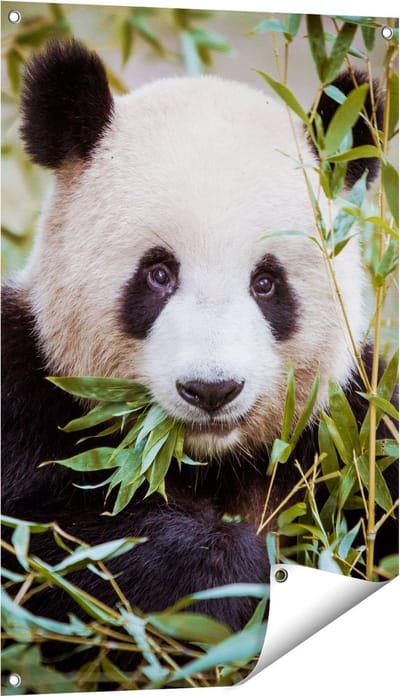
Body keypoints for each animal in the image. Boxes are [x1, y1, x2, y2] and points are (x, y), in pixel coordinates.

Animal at [2, 40, 397, 655]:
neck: (206, 461)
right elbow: (50, 546)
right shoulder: (24, 391)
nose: (211, 389)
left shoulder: (357, 428)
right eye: (159, 274)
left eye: (267, 283)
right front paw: (233, 573)